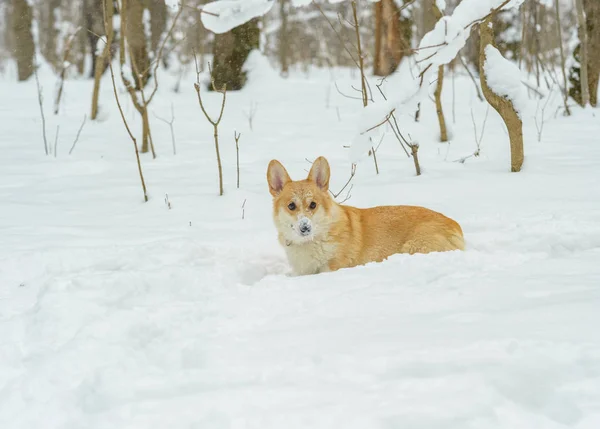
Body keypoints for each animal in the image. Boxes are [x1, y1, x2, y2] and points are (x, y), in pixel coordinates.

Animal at [268, 156, 464, 274]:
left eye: (313, 205)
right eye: (291, 206)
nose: (305, 227)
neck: (314, 240)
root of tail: (456, 225)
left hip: (413, 247)